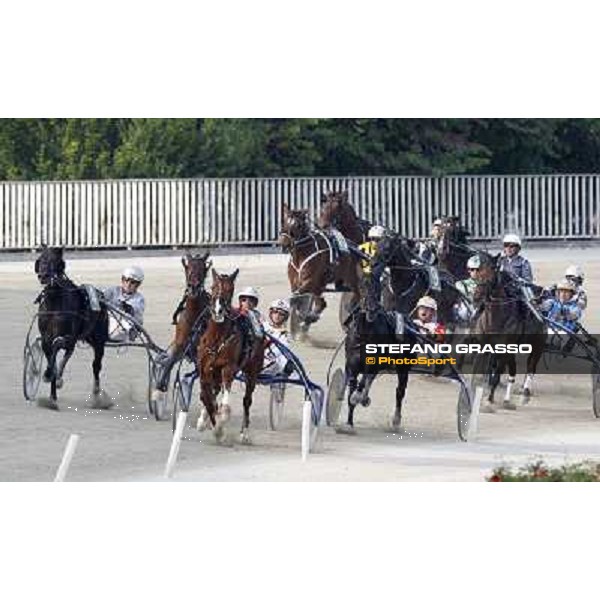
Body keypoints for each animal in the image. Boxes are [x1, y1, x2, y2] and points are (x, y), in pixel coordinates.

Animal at [33, 244, 109, 408]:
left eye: (55, 260)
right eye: (41, 258)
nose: (43, 275)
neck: (55, 302)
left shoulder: (68, 337)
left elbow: (58, 346)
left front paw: (52, 376)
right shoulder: (45, 338)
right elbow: (51, 356)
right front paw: (52, 394)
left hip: (99, 341)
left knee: (96, 365)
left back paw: (97, 395)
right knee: (70, 354)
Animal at [155, 252, 213, 396]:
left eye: (203, 269)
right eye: (188, 267)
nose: (194, 287)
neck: (194, 318)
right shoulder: (179, 344)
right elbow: (169, 361)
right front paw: (161, 384)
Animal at [196, 270, 264, 442]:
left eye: (230, 289)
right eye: (213, 287)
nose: (218, 310)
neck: (217, 338)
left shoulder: (228, 368)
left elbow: (224, 406)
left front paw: (219, 429)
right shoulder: (205, 368)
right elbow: (206, 397)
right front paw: (207, 423)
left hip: (252, 372)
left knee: (247, 400)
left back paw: (244, 433)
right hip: (215, 373)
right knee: (214, 392)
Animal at [278, 205, 360, 338]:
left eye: (299, 225)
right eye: (284, 221)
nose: (283, 242)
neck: (300, 256)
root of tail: (355, 246)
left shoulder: (310, 281)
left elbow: (296, 298)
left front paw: (304, 319)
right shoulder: (296, 283)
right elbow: (297, 300)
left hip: (351, 278)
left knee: (357, 295)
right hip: (321, 284)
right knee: (321, 303)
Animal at [472, 251, 548, 410]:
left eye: (491, 272)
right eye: (477, 271)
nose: (477, 295)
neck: (495, 319)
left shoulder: (505, 349)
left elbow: (496, 376)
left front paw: (489, 400)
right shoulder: (485, 347)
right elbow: (484, 371)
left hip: (537, 347)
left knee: (530, 369)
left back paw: (525, 395)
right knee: (512, 372)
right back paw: (507, 400)